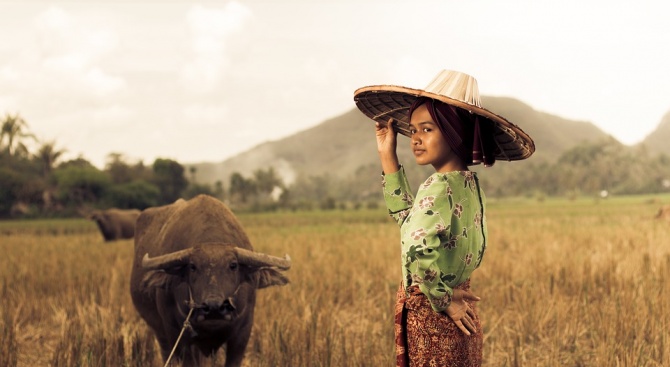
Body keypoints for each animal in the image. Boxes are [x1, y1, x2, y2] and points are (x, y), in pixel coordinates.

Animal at [129, 194, 292, 366]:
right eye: (192, 266)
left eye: (233, 265)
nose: (214, 307)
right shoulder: (176, 334)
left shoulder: (243, 333)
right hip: (162, 334)